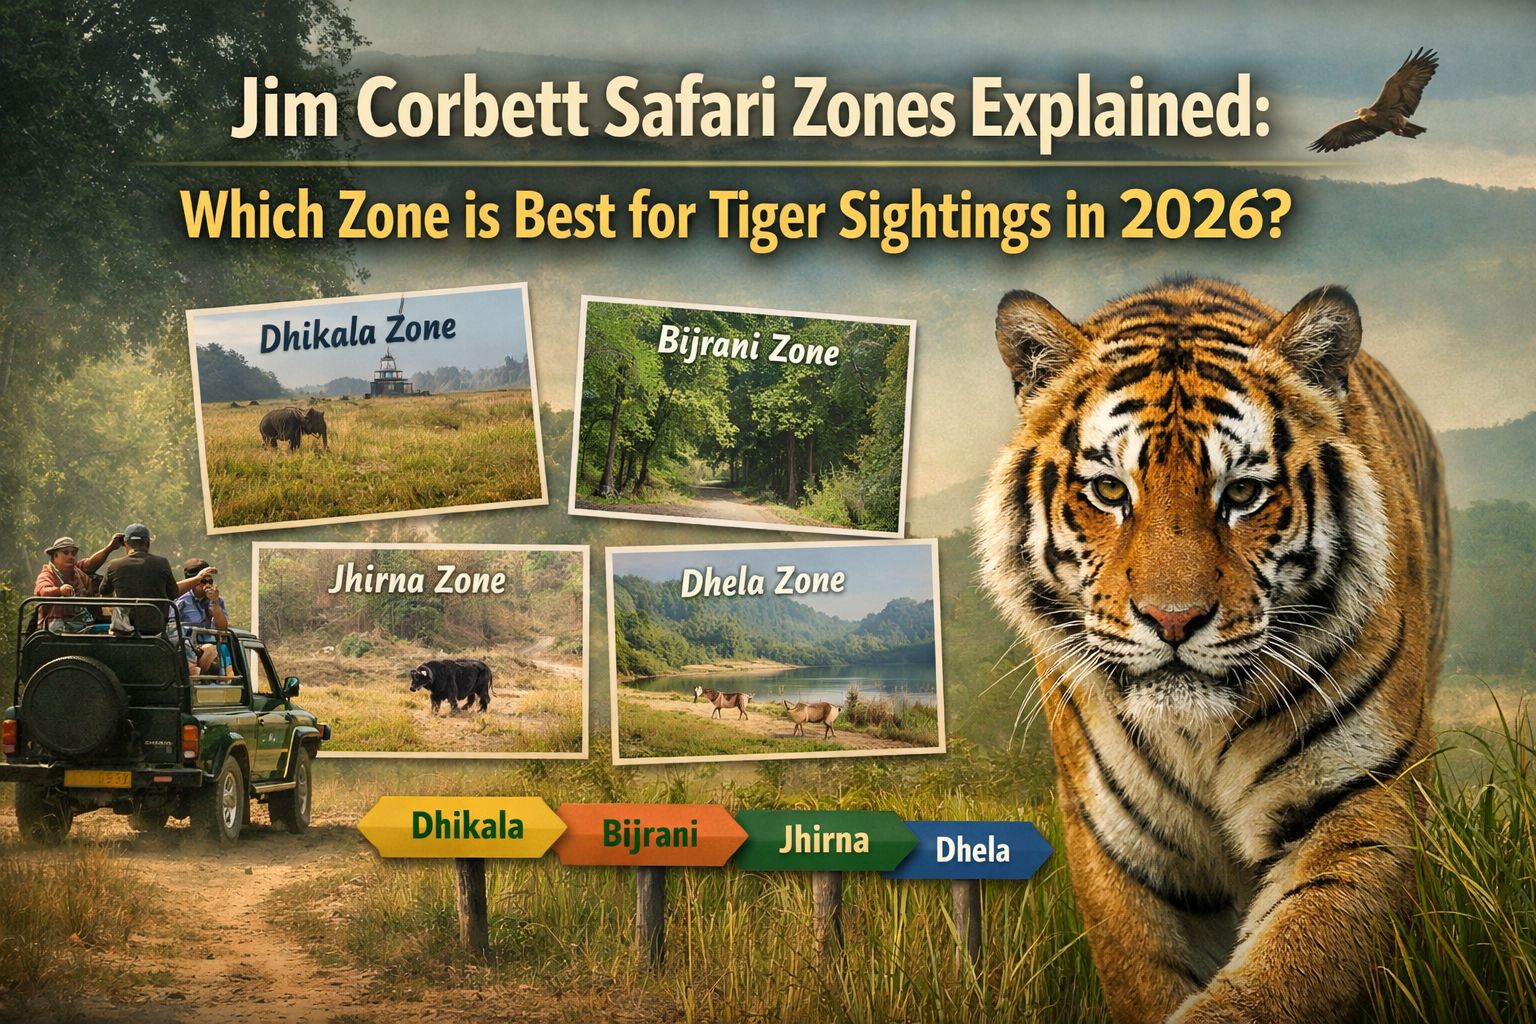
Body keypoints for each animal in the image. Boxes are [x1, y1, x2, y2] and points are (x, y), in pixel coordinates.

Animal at [975, 278, 1448, 1023]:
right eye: (1109, 489)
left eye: (1243, 493)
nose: (1174, 620)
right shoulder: (1121, 846)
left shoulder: (1361, 800)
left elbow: (1286, 976)